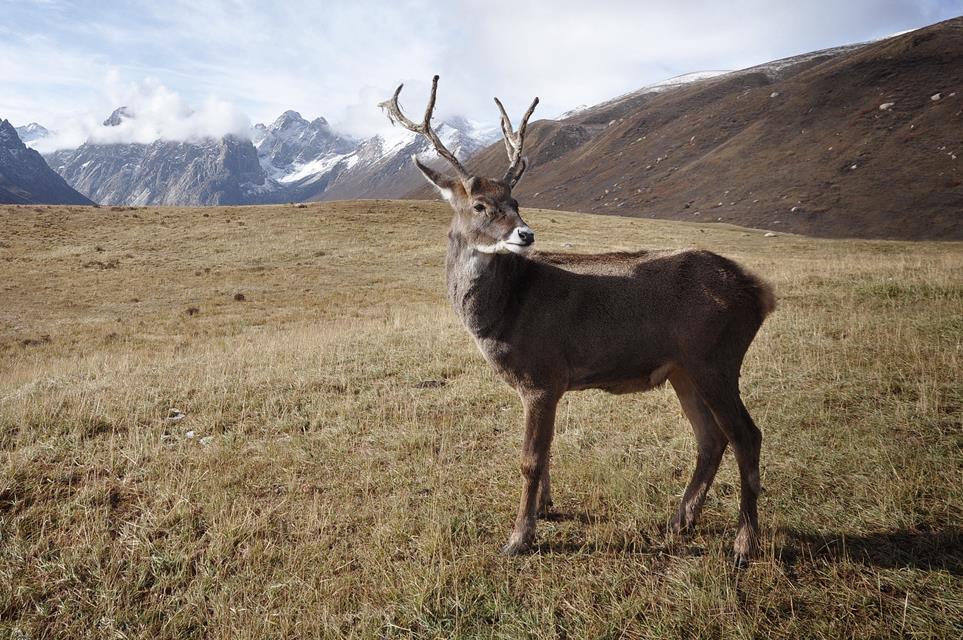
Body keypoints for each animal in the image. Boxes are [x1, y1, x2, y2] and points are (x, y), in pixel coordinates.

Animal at [380, 76, 776, 567]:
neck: (503, 313)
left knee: (747, 436)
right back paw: (680, 521)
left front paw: (519, 537)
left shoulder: (542, 374)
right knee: (711, 439)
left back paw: (744, 544)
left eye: (515, 199)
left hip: (717, 358)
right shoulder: (546, 384)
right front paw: (546, 509)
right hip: (685, 369)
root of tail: (760, 292)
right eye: (479, 205)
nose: (525, 233)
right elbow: (546, 452)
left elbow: (530, 459)